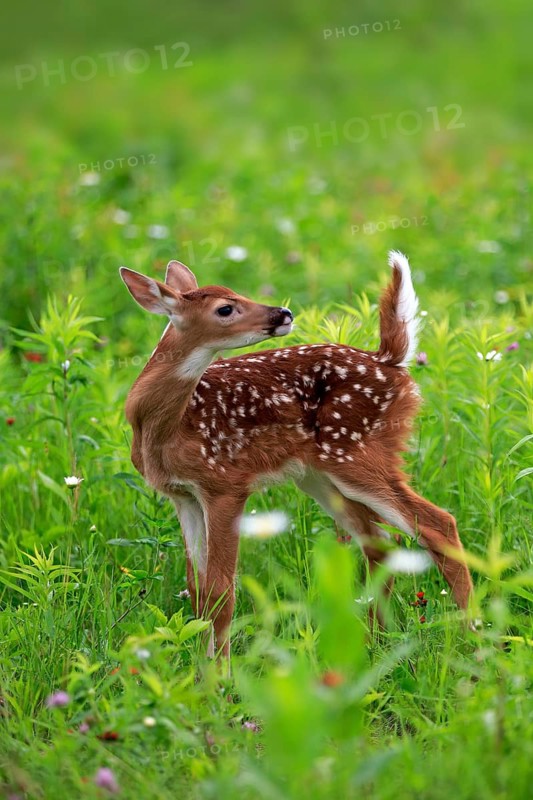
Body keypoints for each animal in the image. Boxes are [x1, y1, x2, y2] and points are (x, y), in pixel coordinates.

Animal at [119, 251, 473, 661]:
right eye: (225, 307)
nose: (283, 313)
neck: (166, 428)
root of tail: (390, 361)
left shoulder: (225, 483)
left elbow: (221, 592)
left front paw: (220, 673)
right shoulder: (184, 495)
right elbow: (198, 590)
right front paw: (202, 668)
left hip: (356, 452)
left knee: (438, 524)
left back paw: (473, 637)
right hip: (319, 476)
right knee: (381, 542)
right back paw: (374, 644)